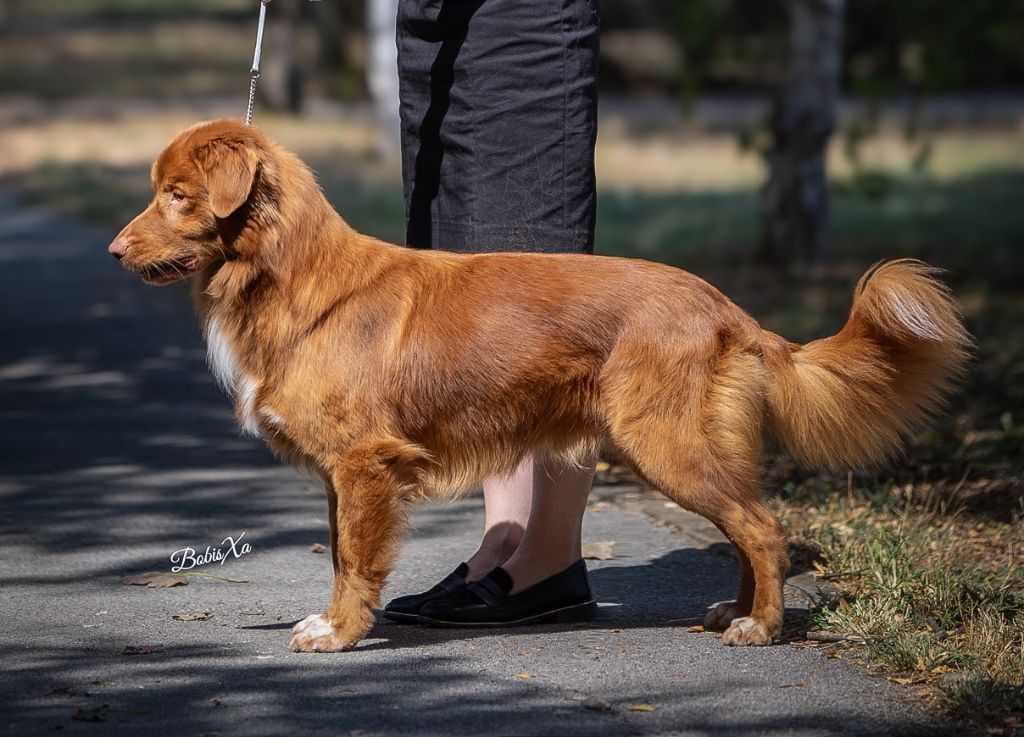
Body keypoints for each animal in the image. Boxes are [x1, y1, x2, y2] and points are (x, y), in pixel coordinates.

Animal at [108, 119, 970, 651]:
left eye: (177, 195)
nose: (114, 251)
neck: (286, 274)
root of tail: (726, 306)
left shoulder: (363, 465)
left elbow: (354, 559)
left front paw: (340, 632)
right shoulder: (341, 474)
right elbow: (339, 555)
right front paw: (336, 620)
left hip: (664, 442)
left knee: (763, 528)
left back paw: (762, 626)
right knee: (745, 525)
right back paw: (739, 605)